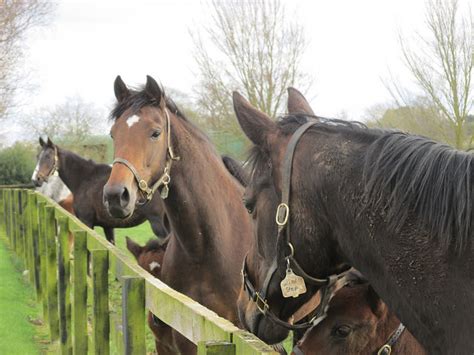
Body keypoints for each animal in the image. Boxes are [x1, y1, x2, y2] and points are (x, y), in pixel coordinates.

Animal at [32, 137, 168, 245]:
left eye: (48, 157)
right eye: (37, 156)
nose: (35, 179)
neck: (84, 178)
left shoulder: (86, 222)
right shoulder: (108, 226)